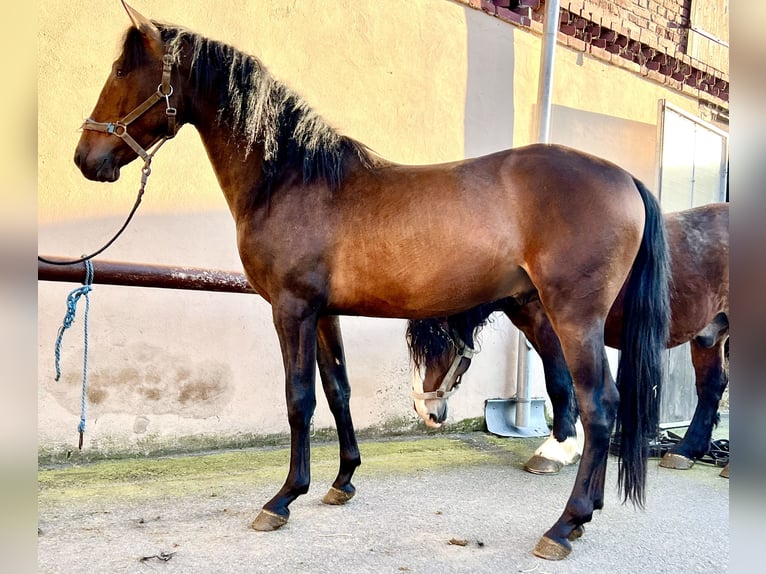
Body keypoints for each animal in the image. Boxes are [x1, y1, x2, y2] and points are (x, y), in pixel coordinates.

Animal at [72, 3, 672, 564]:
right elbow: (338, 390)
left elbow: (299, 399)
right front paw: (343, 480)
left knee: (600, 404)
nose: (85, 158)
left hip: (572, 316)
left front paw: (283, 499)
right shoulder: (324, 312)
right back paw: (584, 512)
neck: (291, 180)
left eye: (123, 70)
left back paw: (565, 525)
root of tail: (625, 178)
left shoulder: (291, 309)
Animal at [412, 205, 728, 474]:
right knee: (711, 387)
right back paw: (685, 451)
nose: (425, 411)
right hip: (709, 335)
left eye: (439, 342)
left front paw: (556, 449)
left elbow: (559, 384)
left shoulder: (554, 331)